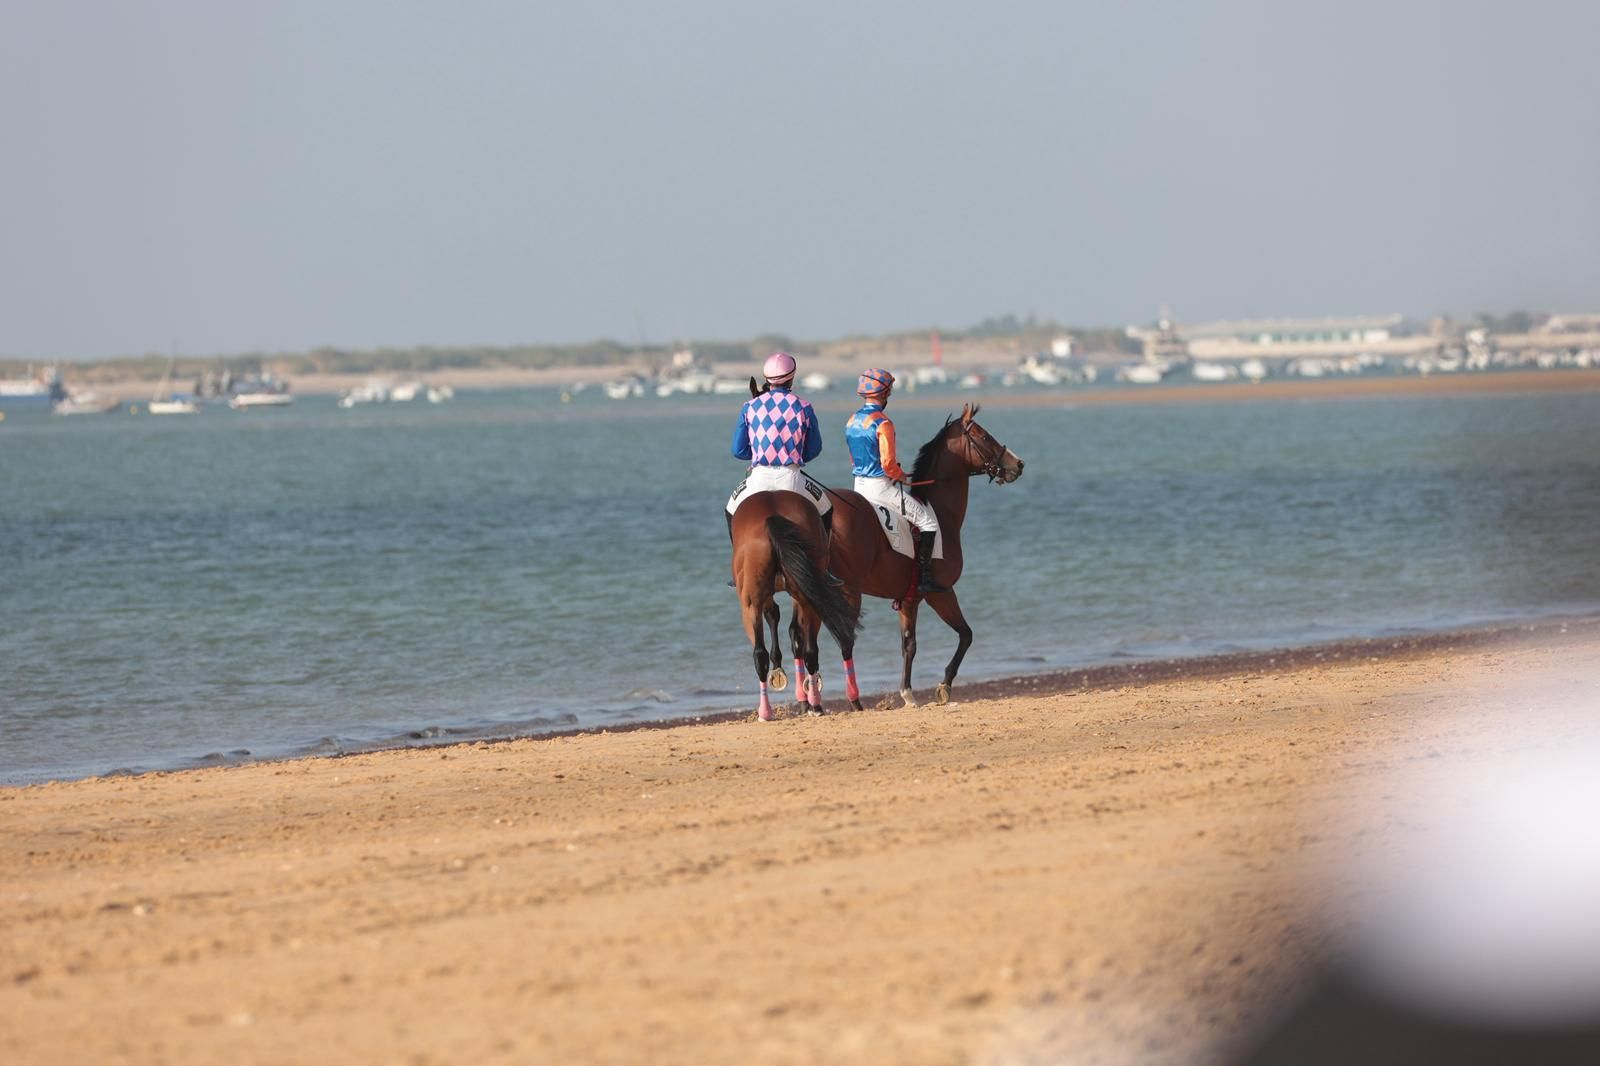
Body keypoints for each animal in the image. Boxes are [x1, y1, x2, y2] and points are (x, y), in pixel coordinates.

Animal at [730, 489, 860, 721]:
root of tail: (771, 515)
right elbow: (786, 625)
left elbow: (778, 619)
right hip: (799, 595)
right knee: (804, 650)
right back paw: (805, 704)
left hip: (753, 603)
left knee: (765, 652)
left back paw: (779, 710)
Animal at [794, 403, 1024, 710]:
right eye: (985, 436)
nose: (1018, 464)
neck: (940, 512)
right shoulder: (939, 593)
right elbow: (962, 635)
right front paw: (941, 687)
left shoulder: (907, 599)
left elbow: (909, 644)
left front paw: (908, 693)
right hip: (846, 592)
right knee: (840, 639)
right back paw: (851, 702)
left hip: (808, 594)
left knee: (801, 642)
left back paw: (809, 703)